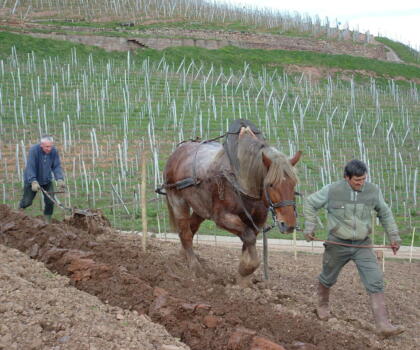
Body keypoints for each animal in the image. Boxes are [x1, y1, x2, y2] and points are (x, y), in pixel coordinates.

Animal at [162, 128, 300, 284]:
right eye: (271, 184)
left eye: (293, 183)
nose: (288, 225)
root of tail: (178, 151)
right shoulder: (222, 217)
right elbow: (249, 237)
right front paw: (245, 269)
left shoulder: (257, 221)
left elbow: (248, 241)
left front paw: (243, 279)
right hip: (177, 200)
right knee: (185, 233)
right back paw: (195, 267)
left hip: (201, 207)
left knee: (191, 228)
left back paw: (184, 255)